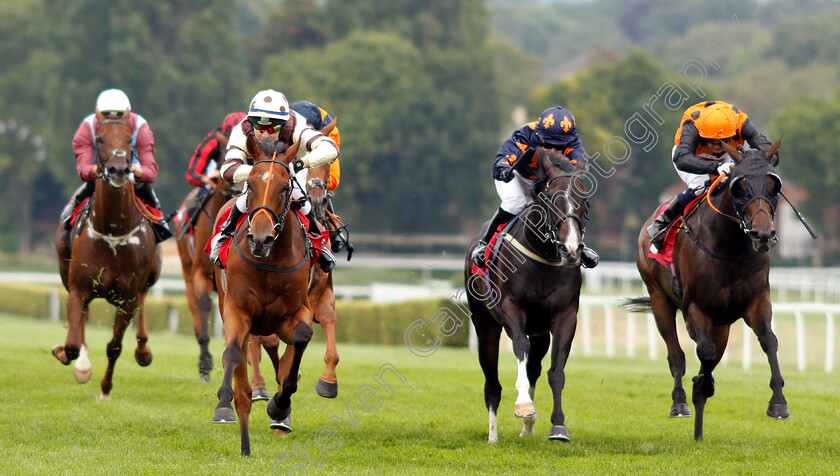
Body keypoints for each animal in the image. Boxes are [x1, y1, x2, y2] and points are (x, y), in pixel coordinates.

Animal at [466, 150, 592, 442]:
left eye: (584, 201)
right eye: (551, 199)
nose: (571, 249)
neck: (544, 258)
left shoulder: (565, 317)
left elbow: (556, 371)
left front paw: (558, 426)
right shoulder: (512, 308)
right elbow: (519, 347)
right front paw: (523, 405)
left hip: (540, 332)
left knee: (534, 367)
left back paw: (528, 428)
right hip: (485, 325)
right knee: (492, 383)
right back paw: (493, 436)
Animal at [628, 137, 792, 438]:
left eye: (773, 185)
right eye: (739, 187)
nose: (762, 235)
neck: (730, 249)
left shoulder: (757, 303)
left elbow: (769, 341)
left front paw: (778, 403)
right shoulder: (695, 308)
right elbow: (703, 352)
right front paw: (700, 388)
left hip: (722, 324)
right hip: (659, 299)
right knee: (676, 354)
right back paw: (680, 402)